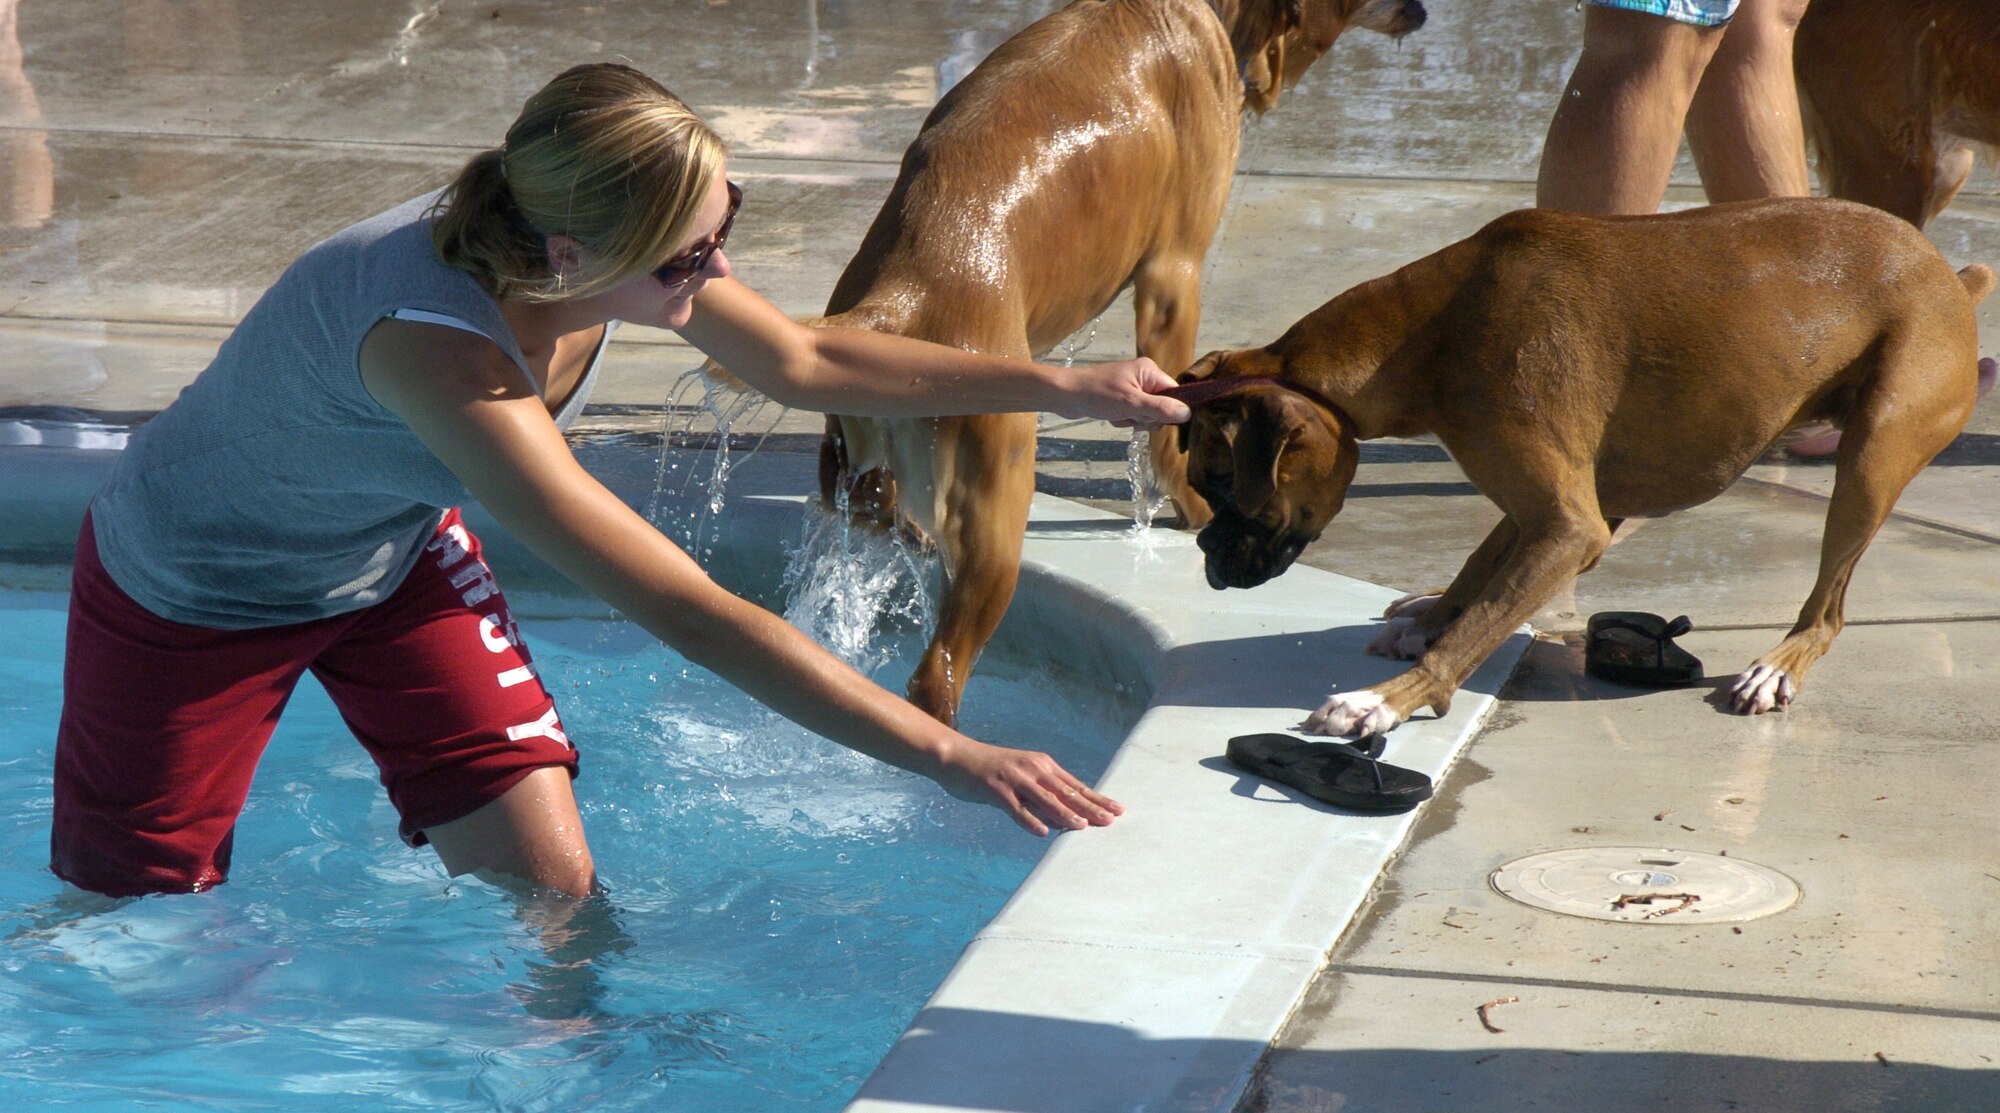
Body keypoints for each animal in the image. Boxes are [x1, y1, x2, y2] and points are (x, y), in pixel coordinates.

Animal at [780, 0, 1424, 724]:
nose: (1424, 12)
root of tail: (898, 298)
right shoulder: (1174, 273)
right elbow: (1169, 431)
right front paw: (1190, 507)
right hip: (996, 506)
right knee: (935, 677)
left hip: (862, 479)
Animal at [1176, 198, 1992, 740]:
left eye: (1218, 481)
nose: (1204, 554)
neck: (1434, 329)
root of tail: (1949, 274)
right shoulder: (1542, 509)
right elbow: (1479, 575)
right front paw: (1430, 620)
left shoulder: (1569, 526)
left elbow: (1480, 627)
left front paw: (1385, 699)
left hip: (1871, 460)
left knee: (1828, 608)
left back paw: (1776, 665)